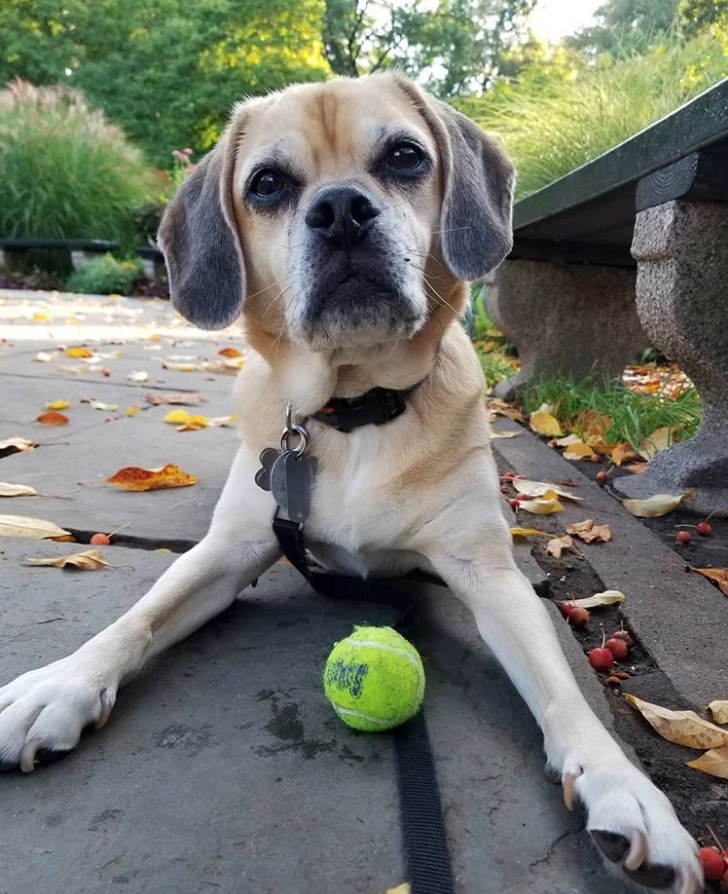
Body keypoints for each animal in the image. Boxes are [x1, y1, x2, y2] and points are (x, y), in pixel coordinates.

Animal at [0, 72, 700, 894]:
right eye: (267, 184)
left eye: (404, 157)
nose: (339, 210)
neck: (354, 409)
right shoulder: (230, 551)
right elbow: (136, 620)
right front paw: (60, 684)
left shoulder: (488, 573)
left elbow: (560, 690)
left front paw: (624, 787)